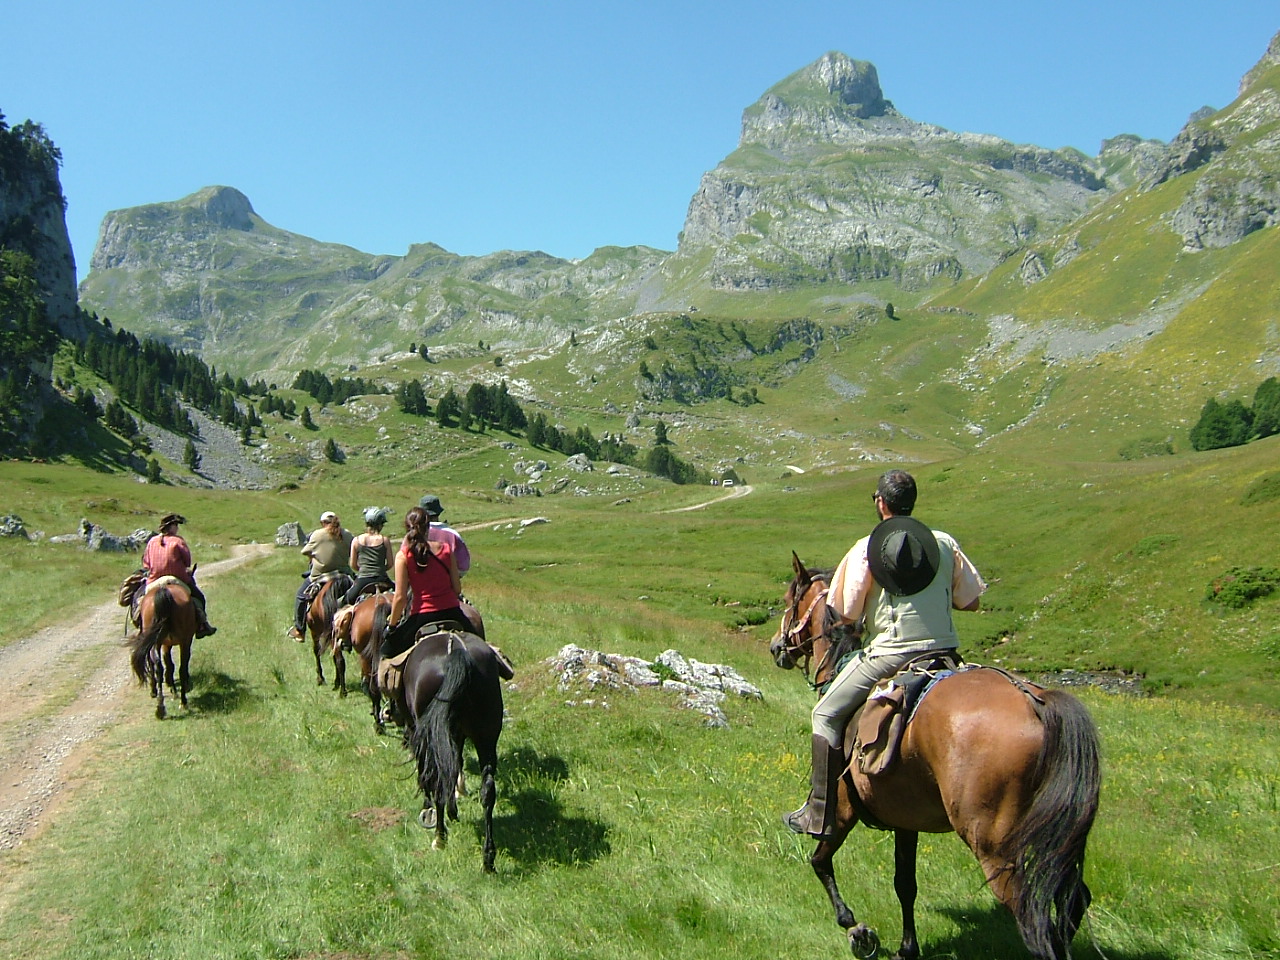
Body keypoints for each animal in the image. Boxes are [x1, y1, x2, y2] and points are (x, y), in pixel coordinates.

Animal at [128, 578, 195, 721]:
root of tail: (164, 590)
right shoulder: (176, 643)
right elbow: (172, 665)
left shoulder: (164, 644)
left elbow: (166, 665)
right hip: (182, 641)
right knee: (179, 667)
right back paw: (182, 702)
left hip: (156, 642)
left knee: (158, 666)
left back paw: (160, 707)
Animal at [399, 627, 504, 875]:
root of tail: (458, 653)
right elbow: (456, 766)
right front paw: (453, 809)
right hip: (486, 737)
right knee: (488, 790)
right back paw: (488, 859)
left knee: (437, 780)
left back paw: (440, 838)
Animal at [768, 555, 1100, 960]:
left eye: (789, 601)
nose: (776, 647)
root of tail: (1036, 703)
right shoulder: (904, 818)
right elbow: (905, 883)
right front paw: (907, 947)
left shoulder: (843, 809)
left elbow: (820, 860)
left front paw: (857, 930)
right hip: (1058, 845)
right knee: (1074, 902)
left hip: (996, 850)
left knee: (1037, 927)